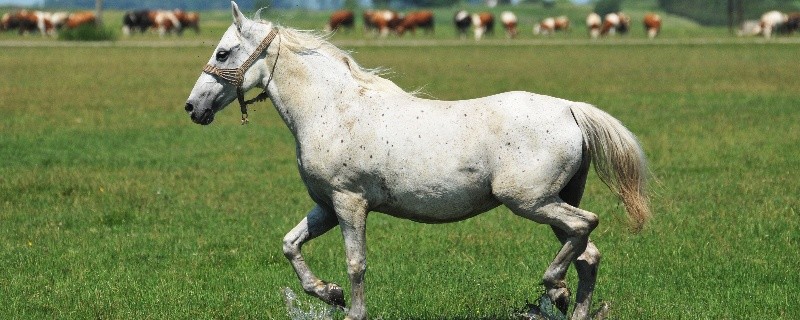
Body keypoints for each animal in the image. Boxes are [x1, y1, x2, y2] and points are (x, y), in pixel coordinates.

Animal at [186, 3, 648, 320]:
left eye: (224, 53)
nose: (193, 108)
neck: (330, 110)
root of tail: (570, 109)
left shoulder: (349, 202)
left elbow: (356, 263)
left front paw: (352, 310)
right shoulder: (326, 206)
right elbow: (290, 245)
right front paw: (328, 292)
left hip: (530, 201)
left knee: (585, 227)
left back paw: (554, 289)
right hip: (552, 203)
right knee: (588, 253)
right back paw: (569, 303)